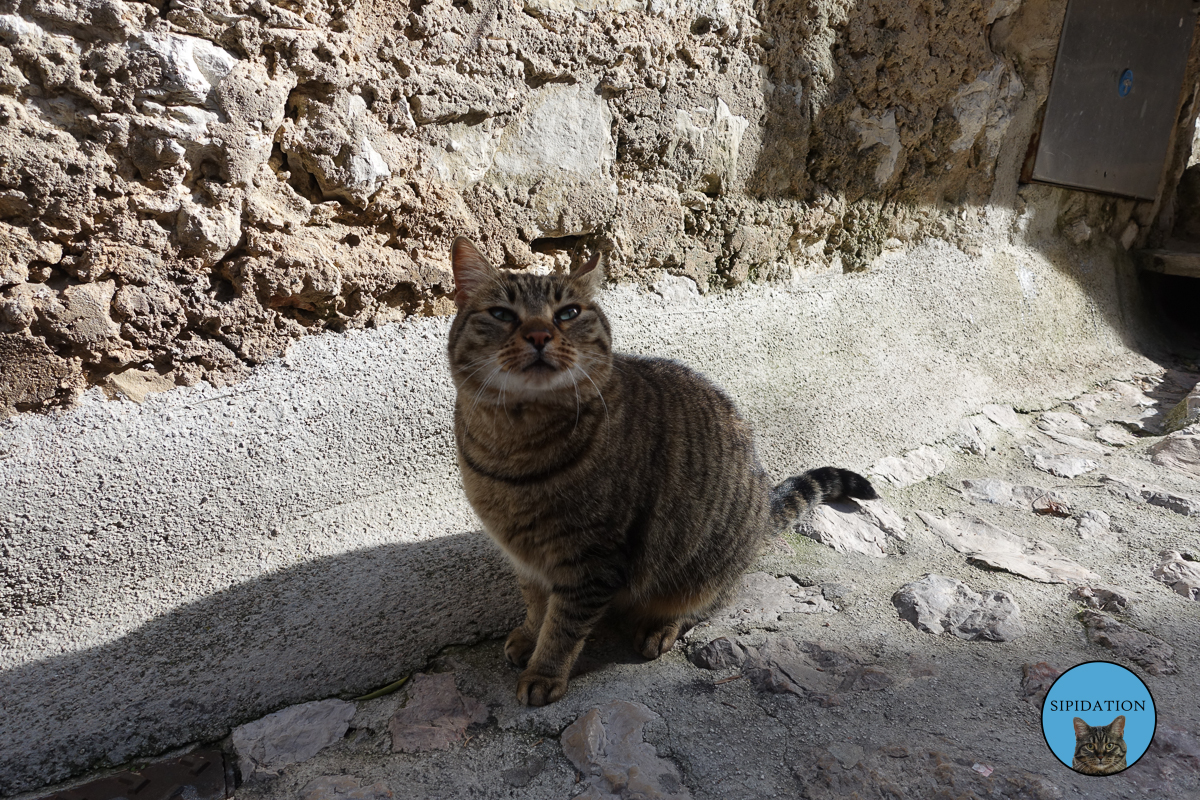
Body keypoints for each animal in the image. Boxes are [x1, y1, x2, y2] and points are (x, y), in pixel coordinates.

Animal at [446, 237, 878, 705]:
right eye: (502, 314)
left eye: (568, 313)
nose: (540, 334)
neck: (513, 446)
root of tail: (764, 506)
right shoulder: (524, 556)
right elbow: (536, 604)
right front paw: (528, 635)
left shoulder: (593, 559)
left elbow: (563, 626)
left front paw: (544, 672)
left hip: (704, 569)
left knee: (707, 604)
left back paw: (660, 626)